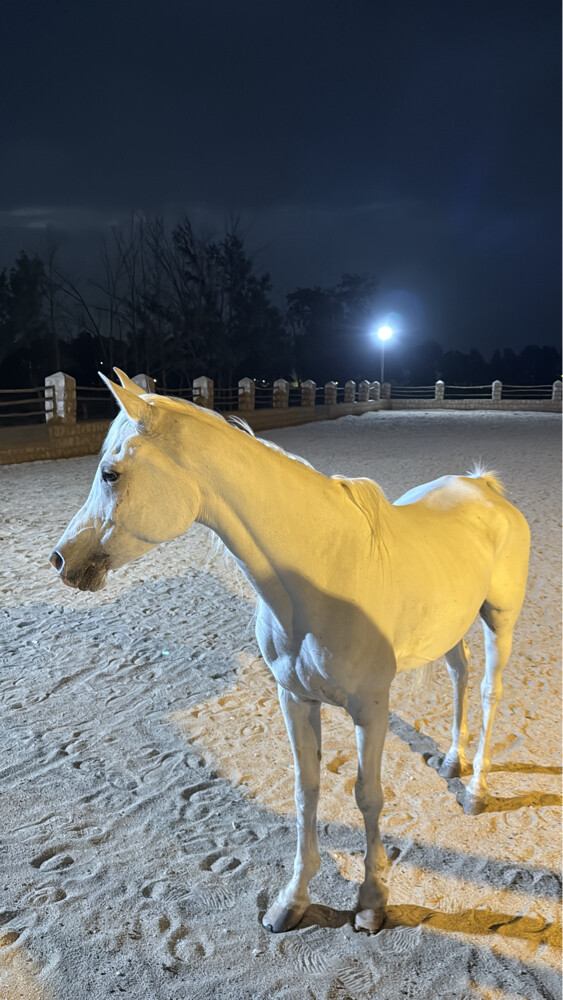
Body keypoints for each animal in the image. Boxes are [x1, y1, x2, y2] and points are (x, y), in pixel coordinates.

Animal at [50, 369, 530, 935]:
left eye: (110, 473)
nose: (61, 559)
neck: (321, 575)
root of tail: (484, 487)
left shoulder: (371, 709)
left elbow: (368, 795)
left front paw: (372, 901)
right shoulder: (295, 699)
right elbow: (307, 791)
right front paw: (293, 900)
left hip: (499, 620)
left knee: (489, 690)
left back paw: (476, 789)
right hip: (452, 627)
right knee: (460, 674)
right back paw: (453, 761)